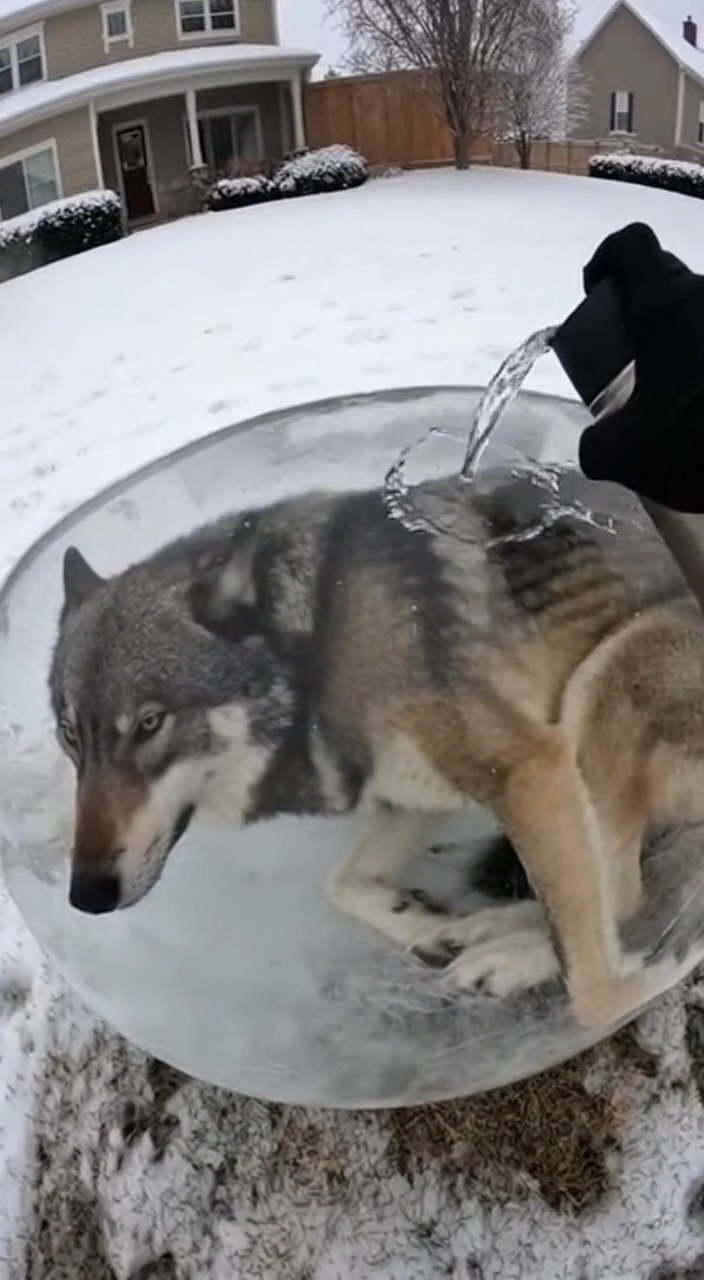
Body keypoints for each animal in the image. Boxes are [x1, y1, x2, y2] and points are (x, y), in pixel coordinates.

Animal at [49, 464, 704, 1030]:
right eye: (70, 734)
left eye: (149, 723)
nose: (85, 896)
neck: (322, 642)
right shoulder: (413, 796)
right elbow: (340, 884)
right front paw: (418, 921)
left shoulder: (528, 769)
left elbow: (597, 991)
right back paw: (480, 931)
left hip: (601, 678)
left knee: (626, 906)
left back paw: (517, 957)